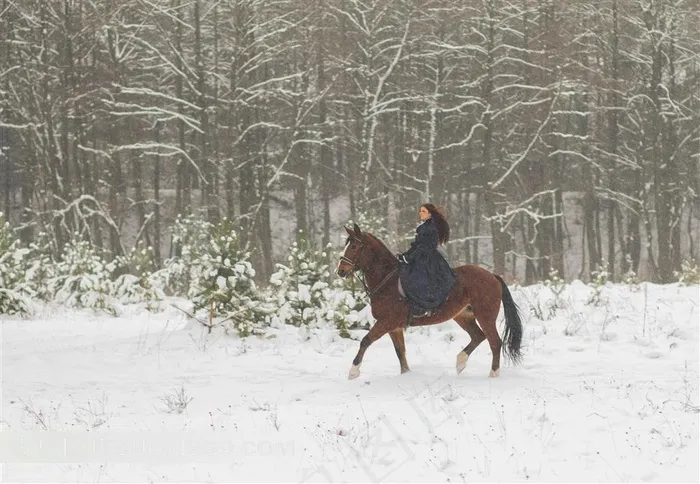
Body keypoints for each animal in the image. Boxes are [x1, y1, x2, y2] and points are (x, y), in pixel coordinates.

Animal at [335, 223, 523, 380]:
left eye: (354, 246)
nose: (340, 271)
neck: (387, 280)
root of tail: (492, 276)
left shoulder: (386, 322)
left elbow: (365, 340)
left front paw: (353, 372)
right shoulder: (394, 327)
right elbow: (400, 352)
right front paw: (406, 375)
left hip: (485, 316)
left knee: (495, 341)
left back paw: (493, 375)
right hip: (463, 315)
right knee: (478, 336)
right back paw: (460, 362)